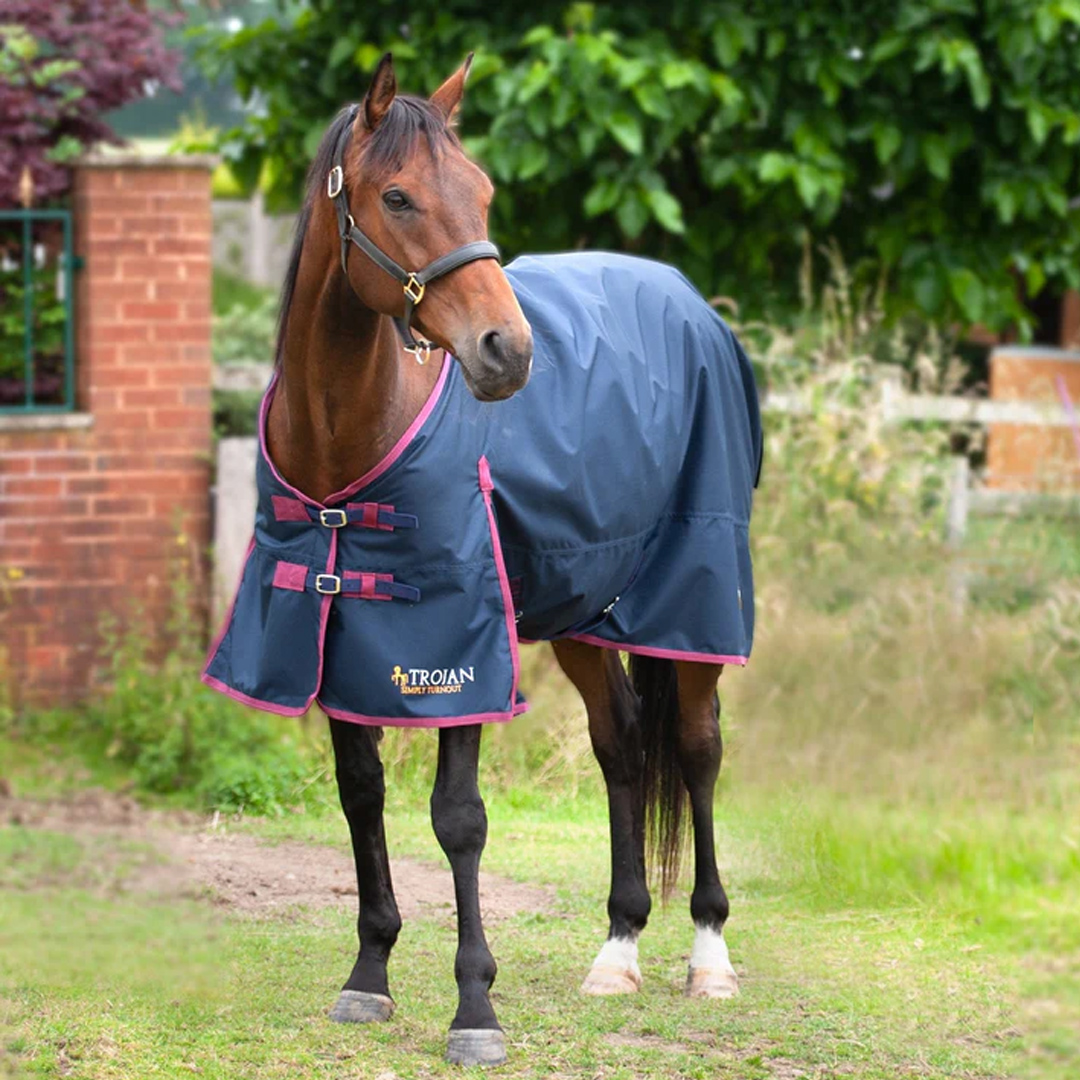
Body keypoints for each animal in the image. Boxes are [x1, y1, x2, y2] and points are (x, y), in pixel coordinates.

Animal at [203, 53, 762, 1067]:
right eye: (397, 196)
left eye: (484, 192)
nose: (510, 351)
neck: (350, 437)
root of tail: (693, 305)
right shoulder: (337, 634)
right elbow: (361, 796)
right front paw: (369, 974)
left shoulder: (458, 651)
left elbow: (458, 820)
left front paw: (475, 1010)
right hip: (584, 610)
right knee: (623, 745)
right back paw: (618, 950)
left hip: (690, 605)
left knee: (699, 752)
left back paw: (708, 955)